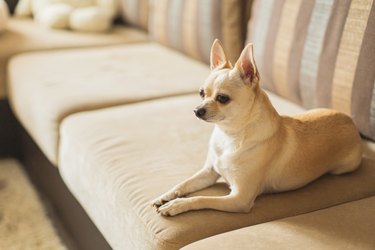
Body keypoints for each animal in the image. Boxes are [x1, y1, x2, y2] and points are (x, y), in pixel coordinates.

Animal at [151, 39, 362, 217]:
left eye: (223, 98)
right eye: (201, 93)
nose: (197, 110)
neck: (229, 135)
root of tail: (351, 121)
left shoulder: (239, 198)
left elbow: (201, 198)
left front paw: (177, 204)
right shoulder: (209, 172)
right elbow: (184, 183)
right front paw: (166, 196)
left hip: (343, 168)